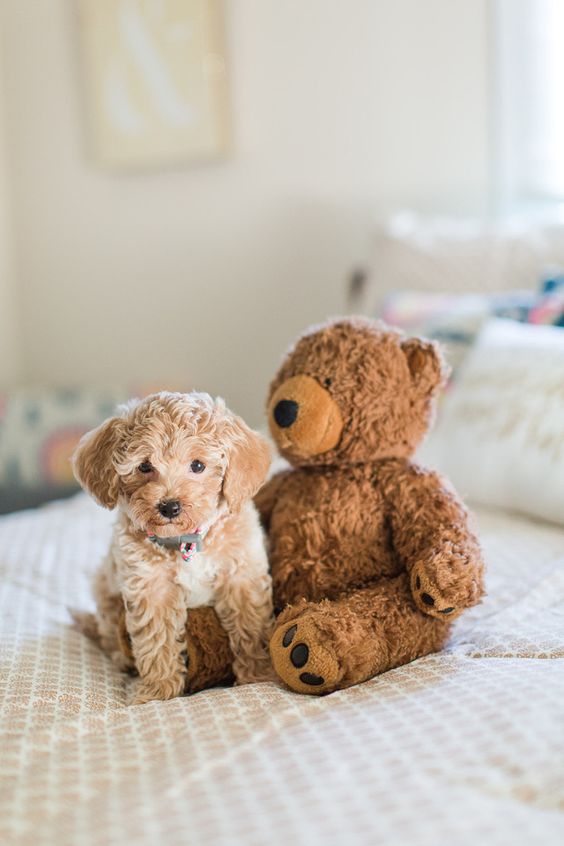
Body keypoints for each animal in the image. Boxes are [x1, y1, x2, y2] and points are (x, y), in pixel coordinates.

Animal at [71, 394, 274, 704]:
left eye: (198, 466)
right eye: (144, 466)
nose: (169, 506)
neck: (186, 541)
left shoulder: (242, 574)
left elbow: (250, 627)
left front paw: (258, 675)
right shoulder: (150, 586)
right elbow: (157, 641)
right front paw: (158, 693)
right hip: (105, 592)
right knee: (109, 634)